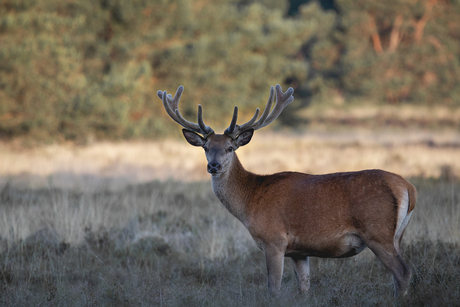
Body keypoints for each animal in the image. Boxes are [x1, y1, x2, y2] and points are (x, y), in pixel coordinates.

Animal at [157, 85, 416, 298]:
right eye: (206, 148)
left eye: (230, 148)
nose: (213, 166)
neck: (251, 200)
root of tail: (408, 188)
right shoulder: (299, 251)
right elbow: (304, 287)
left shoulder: (274, 239)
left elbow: (273, 288)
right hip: (397, 235)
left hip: (377, 231)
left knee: (403, 272)